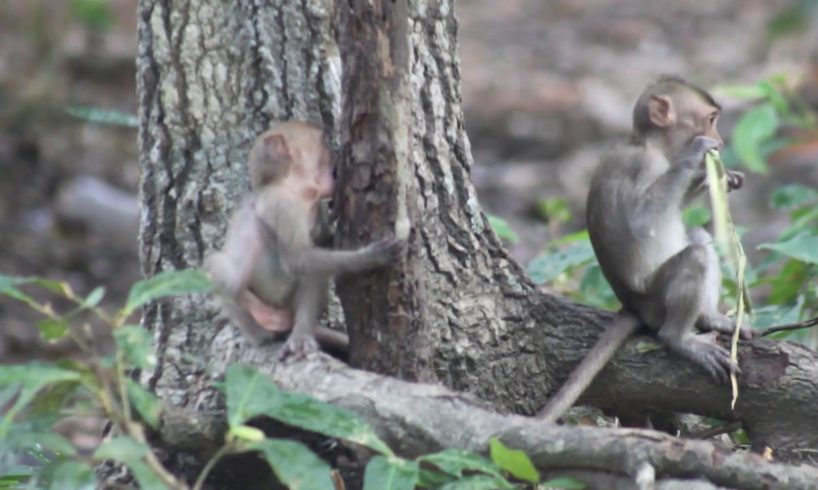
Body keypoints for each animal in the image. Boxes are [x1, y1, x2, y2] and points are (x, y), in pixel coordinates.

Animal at [204, 122, 402, 360]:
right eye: (323, 141)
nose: (336, 151)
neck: (294, 188)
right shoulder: (283, 205)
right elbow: (298, 260)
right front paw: (371, 257)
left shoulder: (315, 209)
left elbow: (321, 242)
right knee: (224, 271)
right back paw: (272, 328)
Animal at [536, 74, 752, 424]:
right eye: (710, 120)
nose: (718, 141)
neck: (651, 145)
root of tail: (632, 305)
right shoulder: (642, 165)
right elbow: (640, 221)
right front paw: (696, 156)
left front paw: (719, 178)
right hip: (655, 300)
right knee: (694, 258)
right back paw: (680, 340)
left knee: (696, 237)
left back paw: (709, 318)